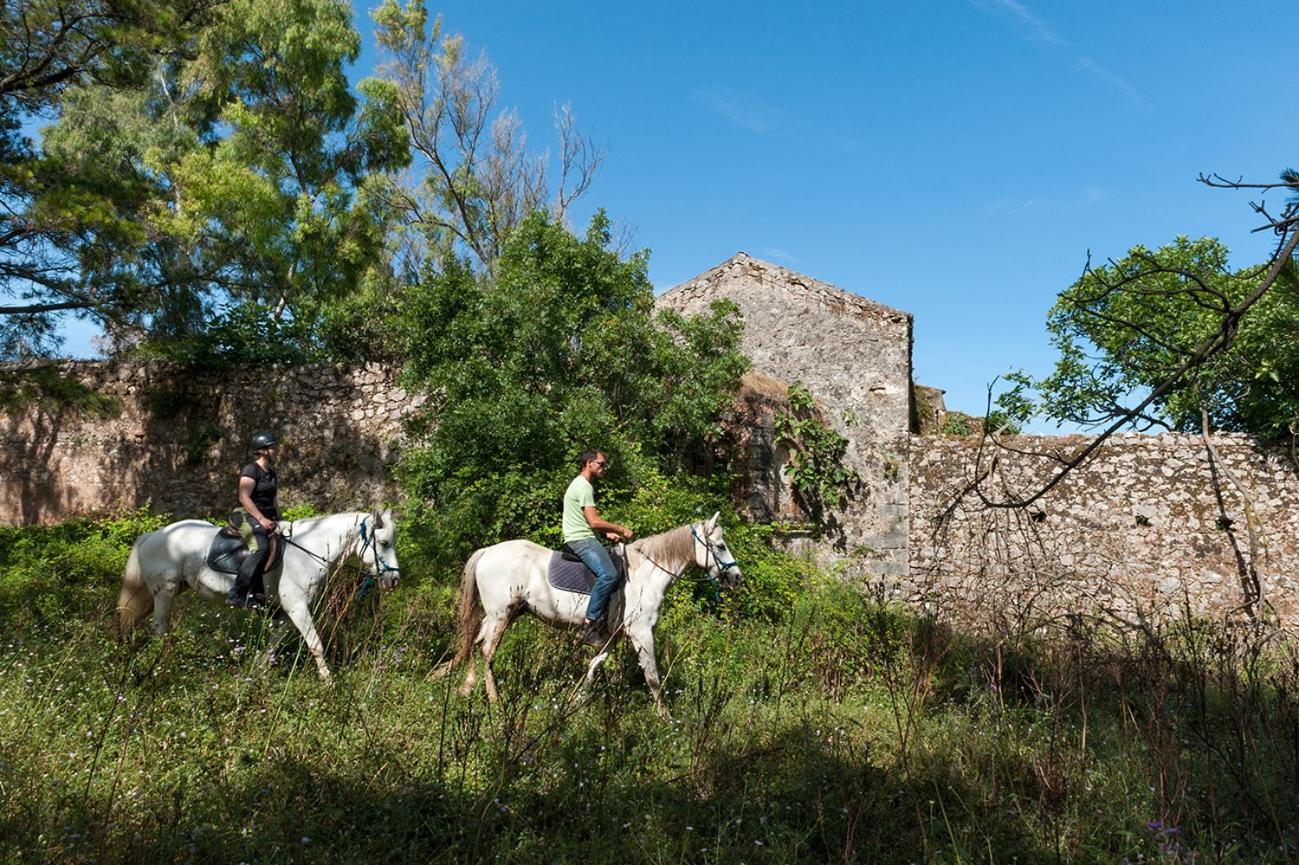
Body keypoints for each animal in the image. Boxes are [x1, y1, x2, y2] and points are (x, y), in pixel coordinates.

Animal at [116, 506, 400, 680]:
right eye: (384, 543)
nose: (395, 579)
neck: (307, 552)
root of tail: (152, 535)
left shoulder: (288, 611)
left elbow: (275, 641)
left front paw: (258, 669)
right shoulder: (297, 606)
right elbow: (315, 644)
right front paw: (329, 683)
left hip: (160, 593)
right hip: (165, 592)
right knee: (160, 629)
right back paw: (167, 663)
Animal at [436, 509, 743, 711]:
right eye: (720, 546)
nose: (736, 578)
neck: (647, 574)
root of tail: (488, 551)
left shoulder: (612, 636)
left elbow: (594, 666)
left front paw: (576, 702)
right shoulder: (641, 633)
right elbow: (653, 678)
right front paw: (665, 717)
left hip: (506, 613)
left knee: (475, 643)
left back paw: (466, 687)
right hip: (501, 613)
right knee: (487, 650)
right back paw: (494, 699)